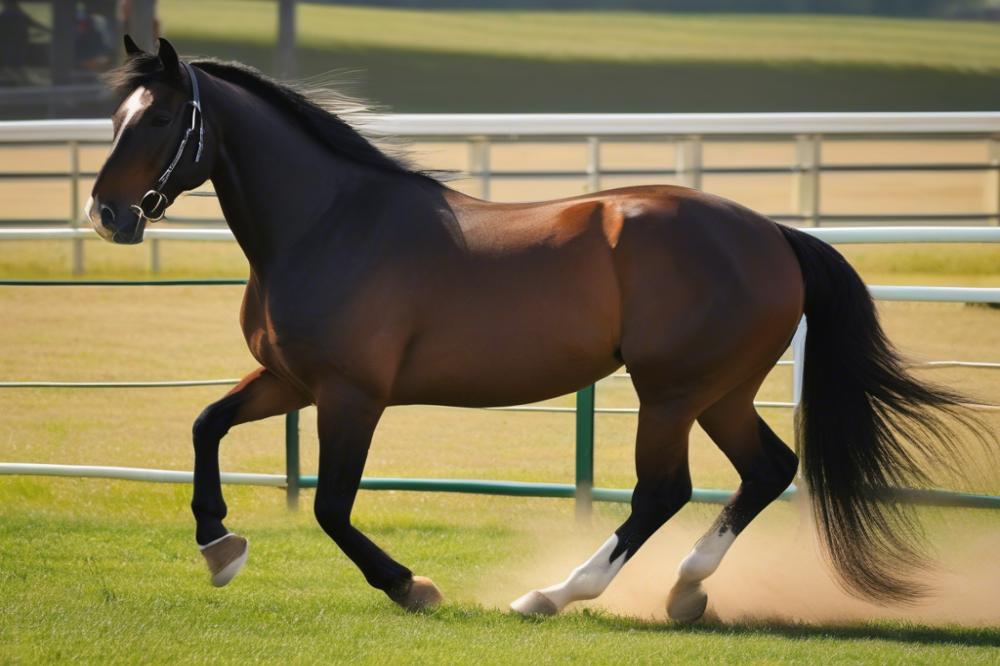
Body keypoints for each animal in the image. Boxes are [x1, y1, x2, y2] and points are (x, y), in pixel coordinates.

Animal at [88, 37, 984, 616]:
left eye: (161, 120)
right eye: (115, 117)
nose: (107, 214)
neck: (330, 223)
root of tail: (773, 234)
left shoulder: (351, 395)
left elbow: (333, 508)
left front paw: (411, 586)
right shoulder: (289, 381)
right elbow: (207, 424)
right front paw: (218, 546)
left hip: (670, 394)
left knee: (664, 492)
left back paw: (555, 594)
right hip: (719, 393)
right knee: (767, 470)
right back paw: (686, 590)